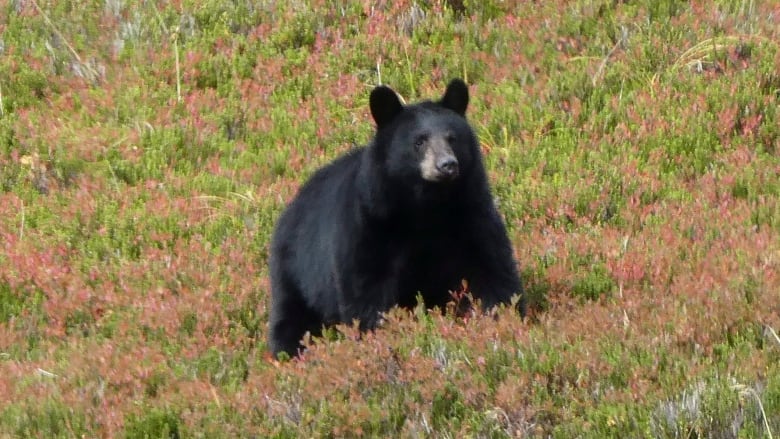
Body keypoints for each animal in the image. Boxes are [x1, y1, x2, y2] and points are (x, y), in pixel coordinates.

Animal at [268, 81, 524, 360]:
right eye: (419, 141)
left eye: (452, 138)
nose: (447, 165)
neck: (427, 207)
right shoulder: (370, 224)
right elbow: (367, 288)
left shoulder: (471, 215)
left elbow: (491, 269)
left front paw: (501, 320)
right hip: (295, 271)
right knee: (291, 317)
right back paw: (288, 352)